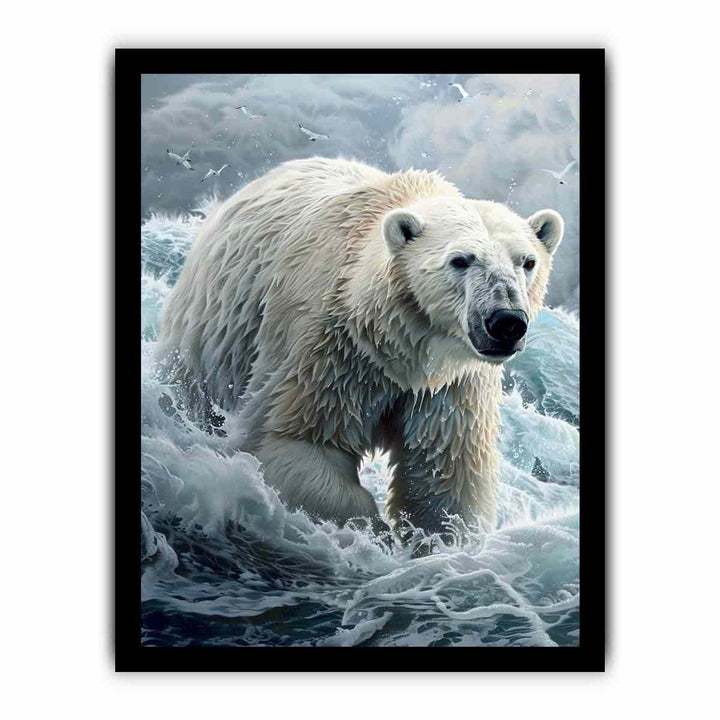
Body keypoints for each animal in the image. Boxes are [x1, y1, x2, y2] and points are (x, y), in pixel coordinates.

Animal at [157, 157, 564, 538]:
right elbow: (298, 442)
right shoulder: (330, 350)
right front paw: (374, 533)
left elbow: (445, 477)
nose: (506, 321)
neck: (400, 345)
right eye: (460, 260)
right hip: (215, 331)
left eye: (527, 262)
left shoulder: (451, 386)